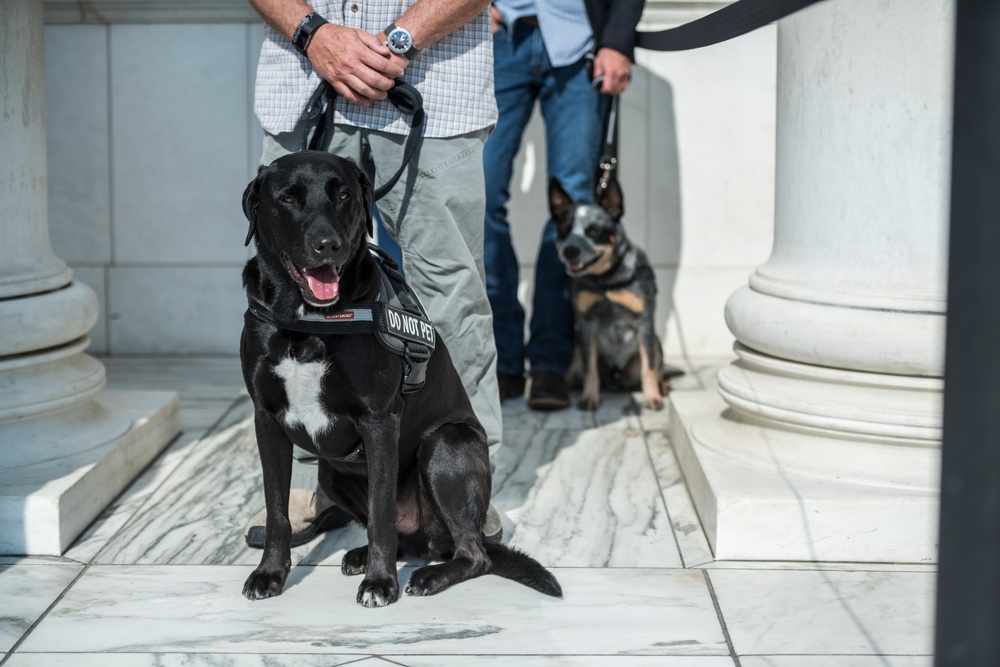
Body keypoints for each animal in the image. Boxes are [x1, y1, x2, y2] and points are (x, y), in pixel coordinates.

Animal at [237, 150, 560, 604]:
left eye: (343, 195)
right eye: (287, 198)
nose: (329, 246)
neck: (306, 321)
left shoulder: (378, 422)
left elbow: (380, 514)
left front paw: (380, 583)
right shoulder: (266, 419)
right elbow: (277, 510)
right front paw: (270, 574)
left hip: (445, 445)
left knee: (473, 554)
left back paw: (428, 576)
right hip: (330, 473)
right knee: (410, 540)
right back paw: (364, 555)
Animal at [552, 175, 668, 410]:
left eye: (593, 231)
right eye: (564, 230)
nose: (569, 251)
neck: (605, 282)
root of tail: (616, 375)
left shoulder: (644, 321)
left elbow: (649, 367)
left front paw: (652, 397)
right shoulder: (586, 324)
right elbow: (590, 370)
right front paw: (589, 397)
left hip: (654, 345)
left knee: (655, 365)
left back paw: (663, 385)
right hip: (576, 353)